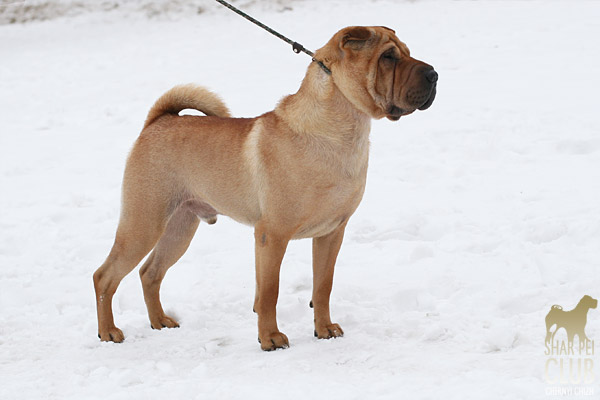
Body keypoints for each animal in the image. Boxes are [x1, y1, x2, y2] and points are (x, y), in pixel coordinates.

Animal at [93, 26, 437, 351]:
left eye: (406, 52)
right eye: (388, 57)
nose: (434, 73)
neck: (338, 132)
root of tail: (158, 121)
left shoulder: (331, 233)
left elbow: (322, 286)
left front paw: (324, 329)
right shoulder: (272, 235)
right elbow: (269, 292)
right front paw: (270, 338)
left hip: (180, 227)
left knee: (150, 273)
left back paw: (160, 322)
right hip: (143, 223)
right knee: (105, 277)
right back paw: (109, 332)